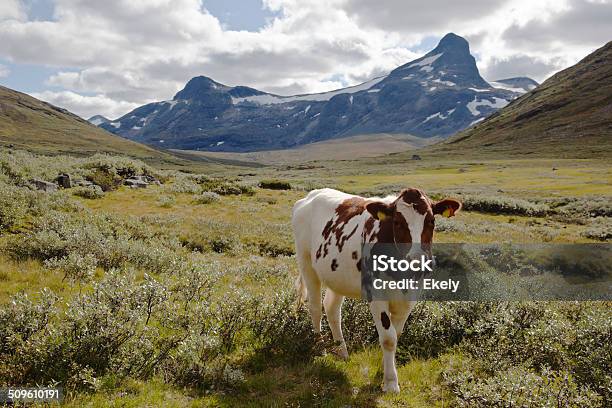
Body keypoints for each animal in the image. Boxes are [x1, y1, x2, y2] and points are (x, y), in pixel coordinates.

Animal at [292, 187, 460, 392]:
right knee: (315, 307)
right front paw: (390, 382)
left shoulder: (410, 297)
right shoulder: (377, 295)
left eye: (431, 221)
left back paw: (342, 351)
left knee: (331, 308)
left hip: (337, 274)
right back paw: (321, 349)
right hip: (306, 262)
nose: (416, 260)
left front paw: (384, 369)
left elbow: (396, 334)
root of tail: (311, 195)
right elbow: (388, 337)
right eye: (397, 222)